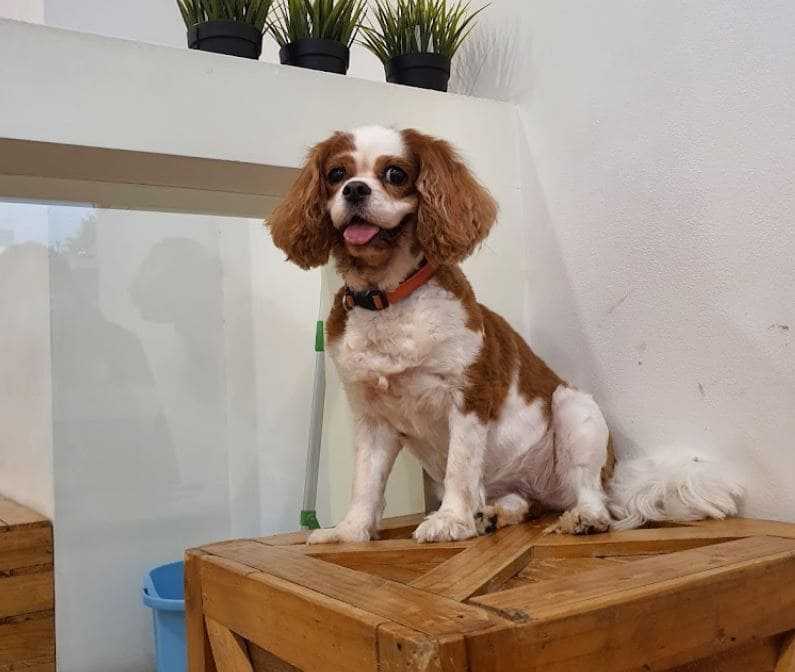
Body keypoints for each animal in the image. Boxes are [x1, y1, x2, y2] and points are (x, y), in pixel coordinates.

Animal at [270, 127, 744, 544]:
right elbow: (366, 482)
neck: (389, 298)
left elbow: (460, 468)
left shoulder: (468, 397)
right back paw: (494, 513)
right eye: (336, 174)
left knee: (592, 495)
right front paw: (351, 531)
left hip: (575, 411)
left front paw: (450, 521)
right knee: (518, 500)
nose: (354, 190)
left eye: (395, 174)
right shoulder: (373, 418)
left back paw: (582, 518)